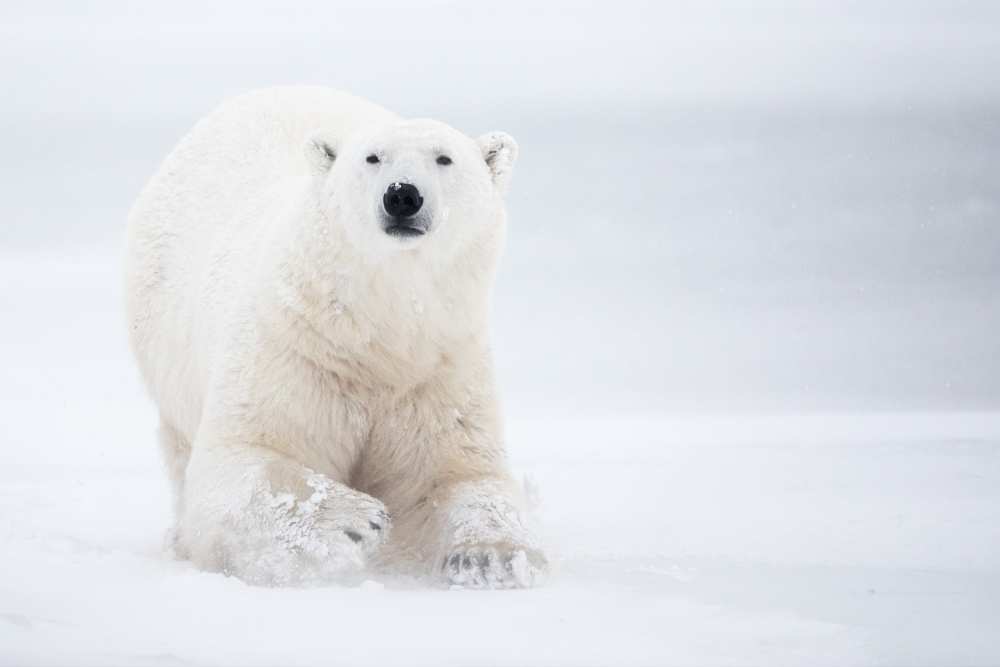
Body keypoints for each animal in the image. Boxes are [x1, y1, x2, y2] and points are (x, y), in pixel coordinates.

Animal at [127, 86, 548, 588]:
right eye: (372, 157)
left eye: (444, 158)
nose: (402, 195)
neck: (375, 334)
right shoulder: (295, 349)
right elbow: (244, 456)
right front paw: (354, 519)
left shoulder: (440, 368)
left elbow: (456, 472)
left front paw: (493, 557)